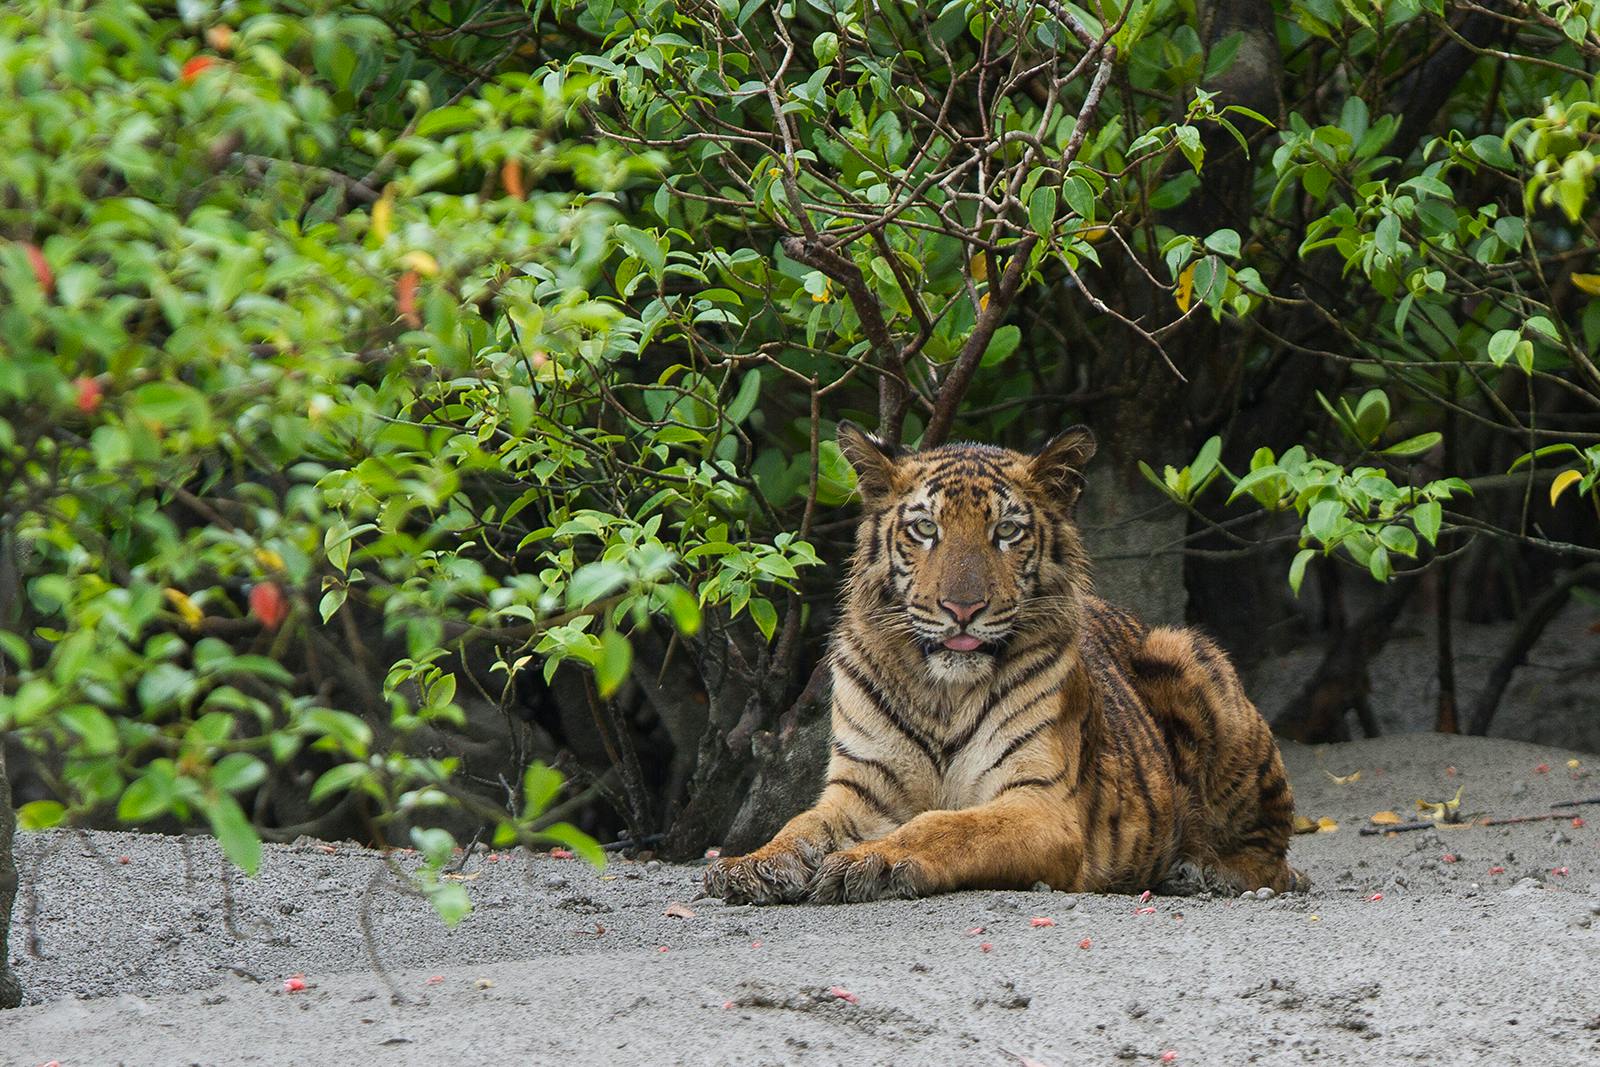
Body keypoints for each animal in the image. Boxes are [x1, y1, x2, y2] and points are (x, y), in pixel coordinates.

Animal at [707, 422, 1305, 908]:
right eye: (926, 530)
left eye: (1007, 532)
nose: (962, 609)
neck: (941, 695)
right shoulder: (859, 790)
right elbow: (800, 825)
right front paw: (749, 866)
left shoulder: (1040, 803)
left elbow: (942, 826)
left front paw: (867, 862)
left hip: (1186, 654)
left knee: (1272, 855)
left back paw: (1204, 871)